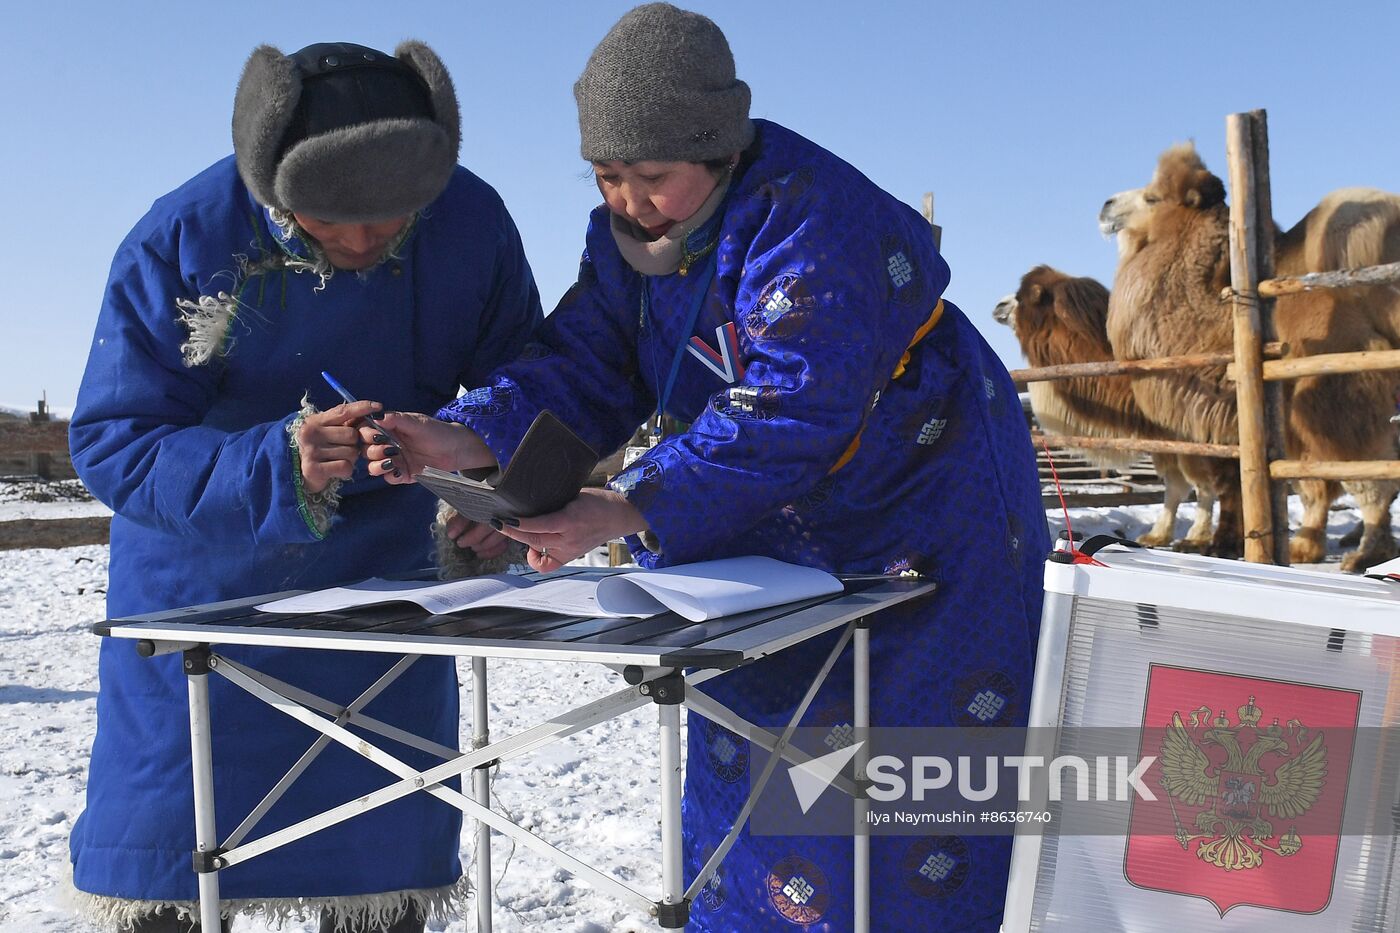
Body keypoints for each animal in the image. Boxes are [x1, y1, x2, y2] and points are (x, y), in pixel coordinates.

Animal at [996, 261, 1215, 549]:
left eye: (1021, 297)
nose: (998, 306)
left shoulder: (1194, 430)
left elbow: (1203, 481)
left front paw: (1196, 538)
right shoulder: (1166, 434)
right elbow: (1176, 484)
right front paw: (1157, 535)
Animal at [1097, 142, 1394, 571]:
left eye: (1152, 197)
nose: (1106, 205)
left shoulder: (1304, 418)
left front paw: (1223, 544)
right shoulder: (1253, 429)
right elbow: (1283, 485)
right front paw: (1280, 546)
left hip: (1345, 406)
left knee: (1372, 481)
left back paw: (1364, 556)